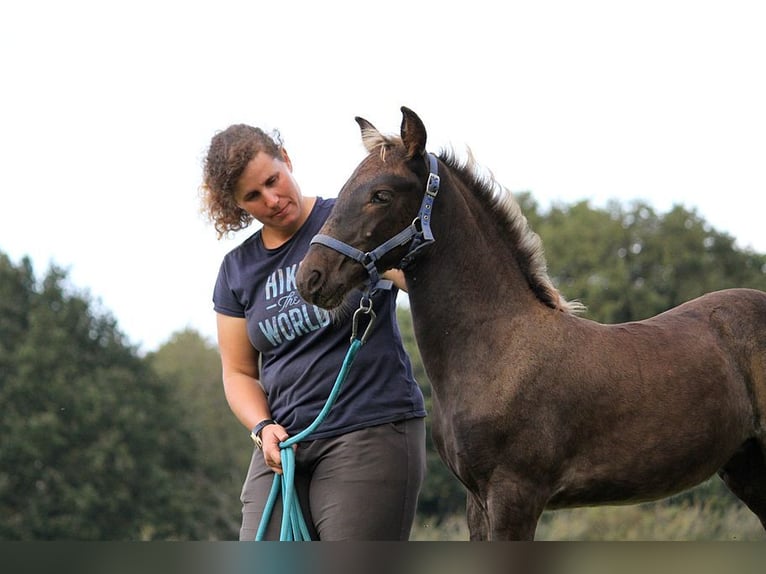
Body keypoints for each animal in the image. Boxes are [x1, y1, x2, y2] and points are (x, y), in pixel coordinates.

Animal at [296, 107, 766, 540]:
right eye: (344, 189)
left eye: (381, 194)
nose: (309, 277)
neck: (498, 347)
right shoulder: (477, 500)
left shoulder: (515, 494)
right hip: (745, 466)